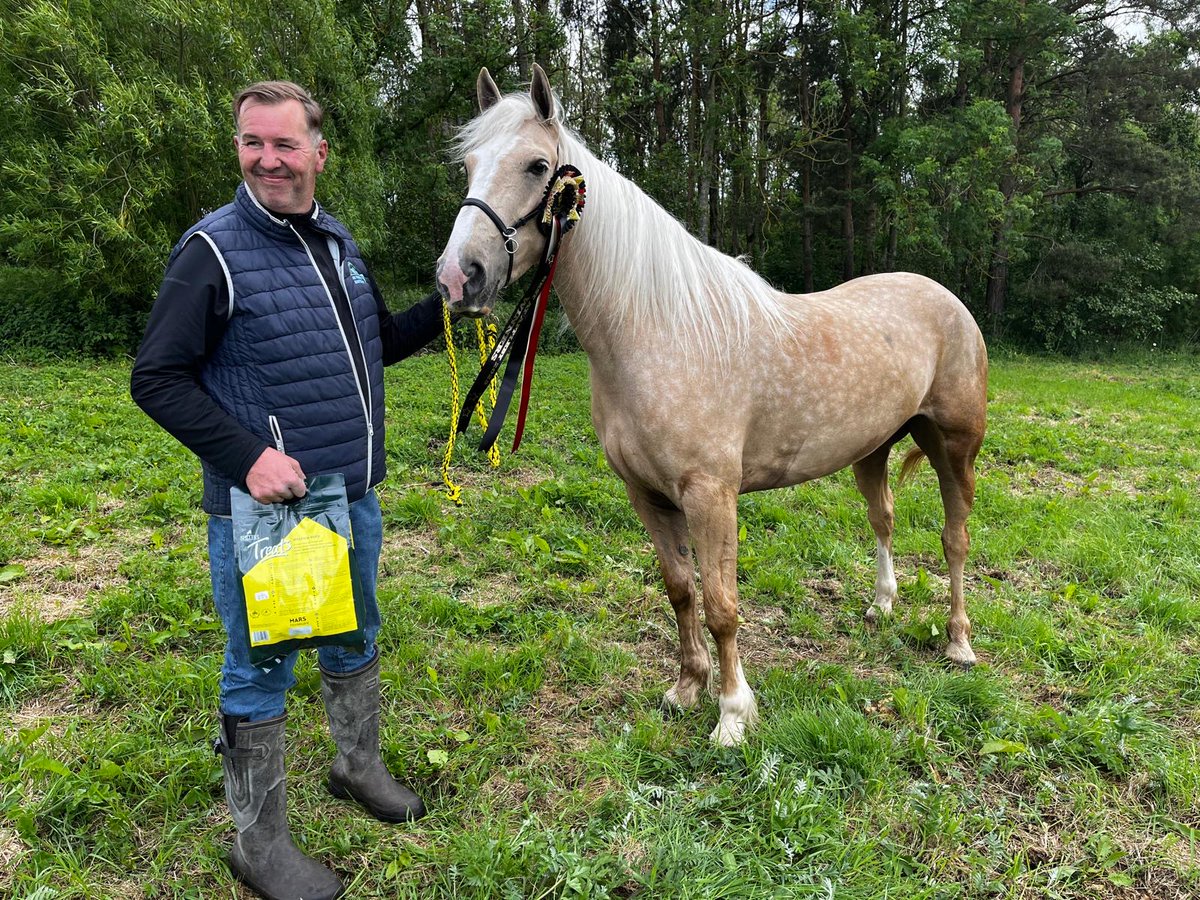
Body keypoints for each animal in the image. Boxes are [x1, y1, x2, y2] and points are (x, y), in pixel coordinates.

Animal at [435, 65, 988, 746]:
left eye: (538, 166)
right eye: (469, 164)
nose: (458, 278)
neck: (660, 331)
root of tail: (947, 299)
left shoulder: (710, 495)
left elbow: (723, 606)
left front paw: (731, 714)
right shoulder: (647, 493)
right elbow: (679, 590)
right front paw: (686, 687)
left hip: (954, 447)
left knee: (955, 539)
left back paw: (960, 642)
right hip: (872, 448)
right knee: (882, 518)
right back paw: (882, 605)